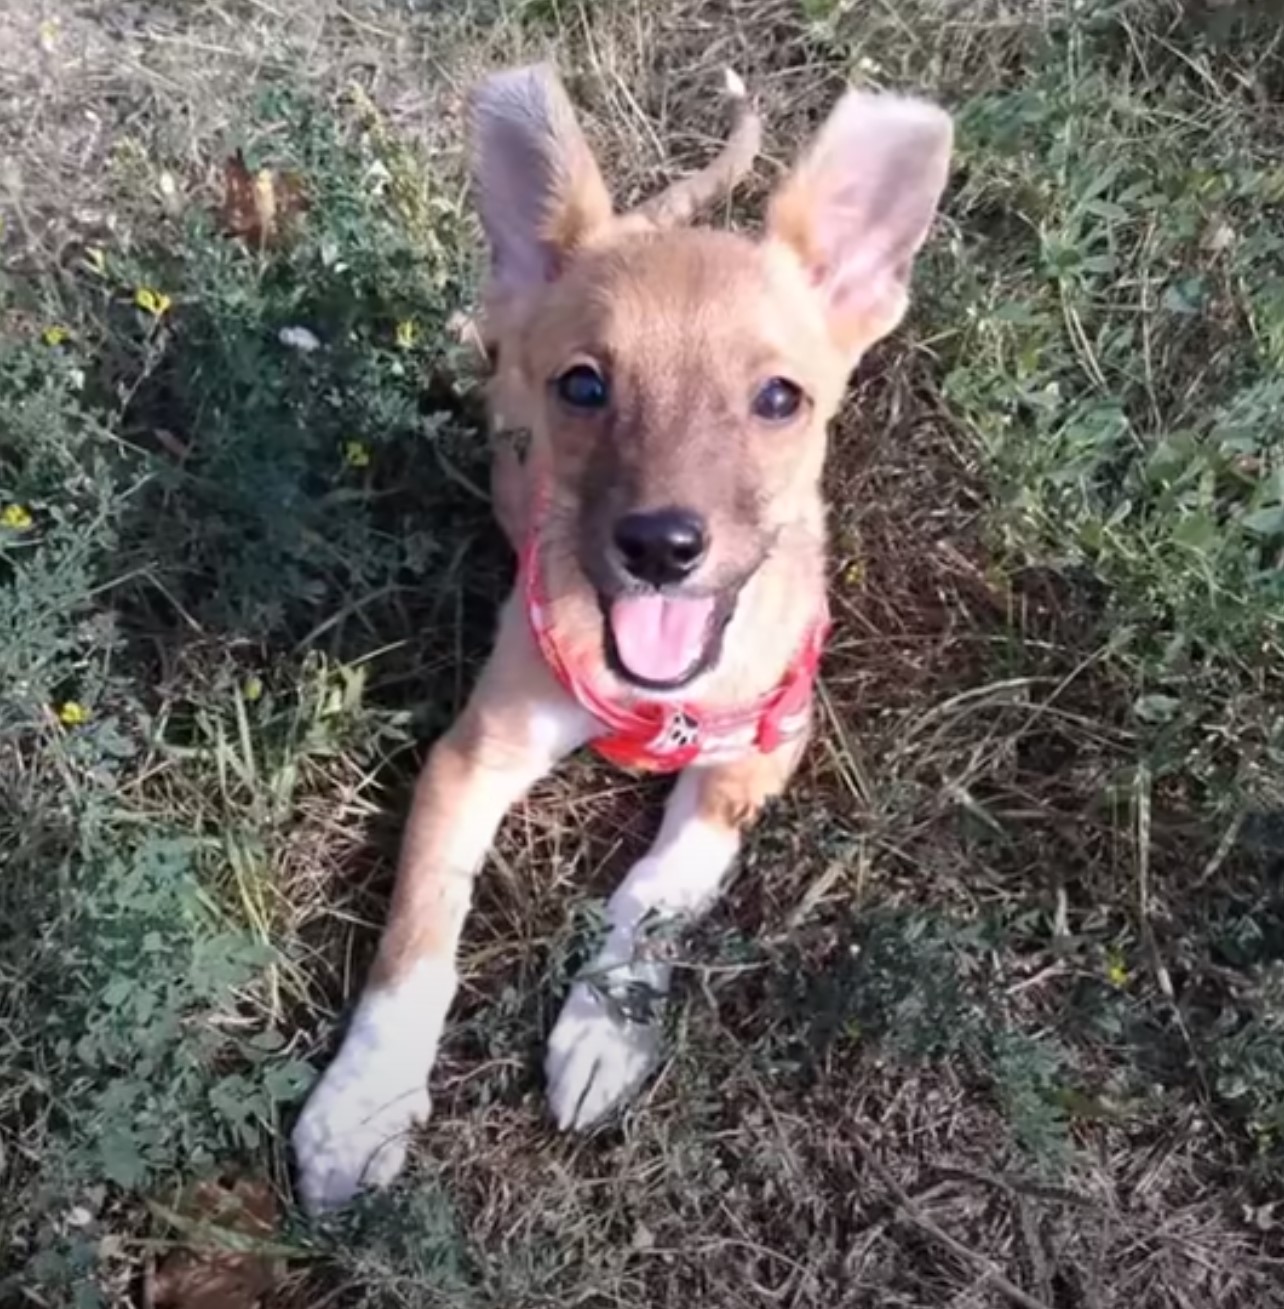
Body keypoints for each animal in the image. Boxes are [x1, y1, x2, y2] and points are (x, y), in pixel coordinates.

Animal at [293, 58, 952, 1204]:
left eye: (779, 398)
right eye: (584, 385)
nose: (661, 545)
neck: (662, 695)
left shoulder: (756, 757)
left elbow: (658, 889)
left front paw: (605, 1030)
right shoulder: (469, 759)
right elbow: (419, 932)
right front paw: (361, 1101)